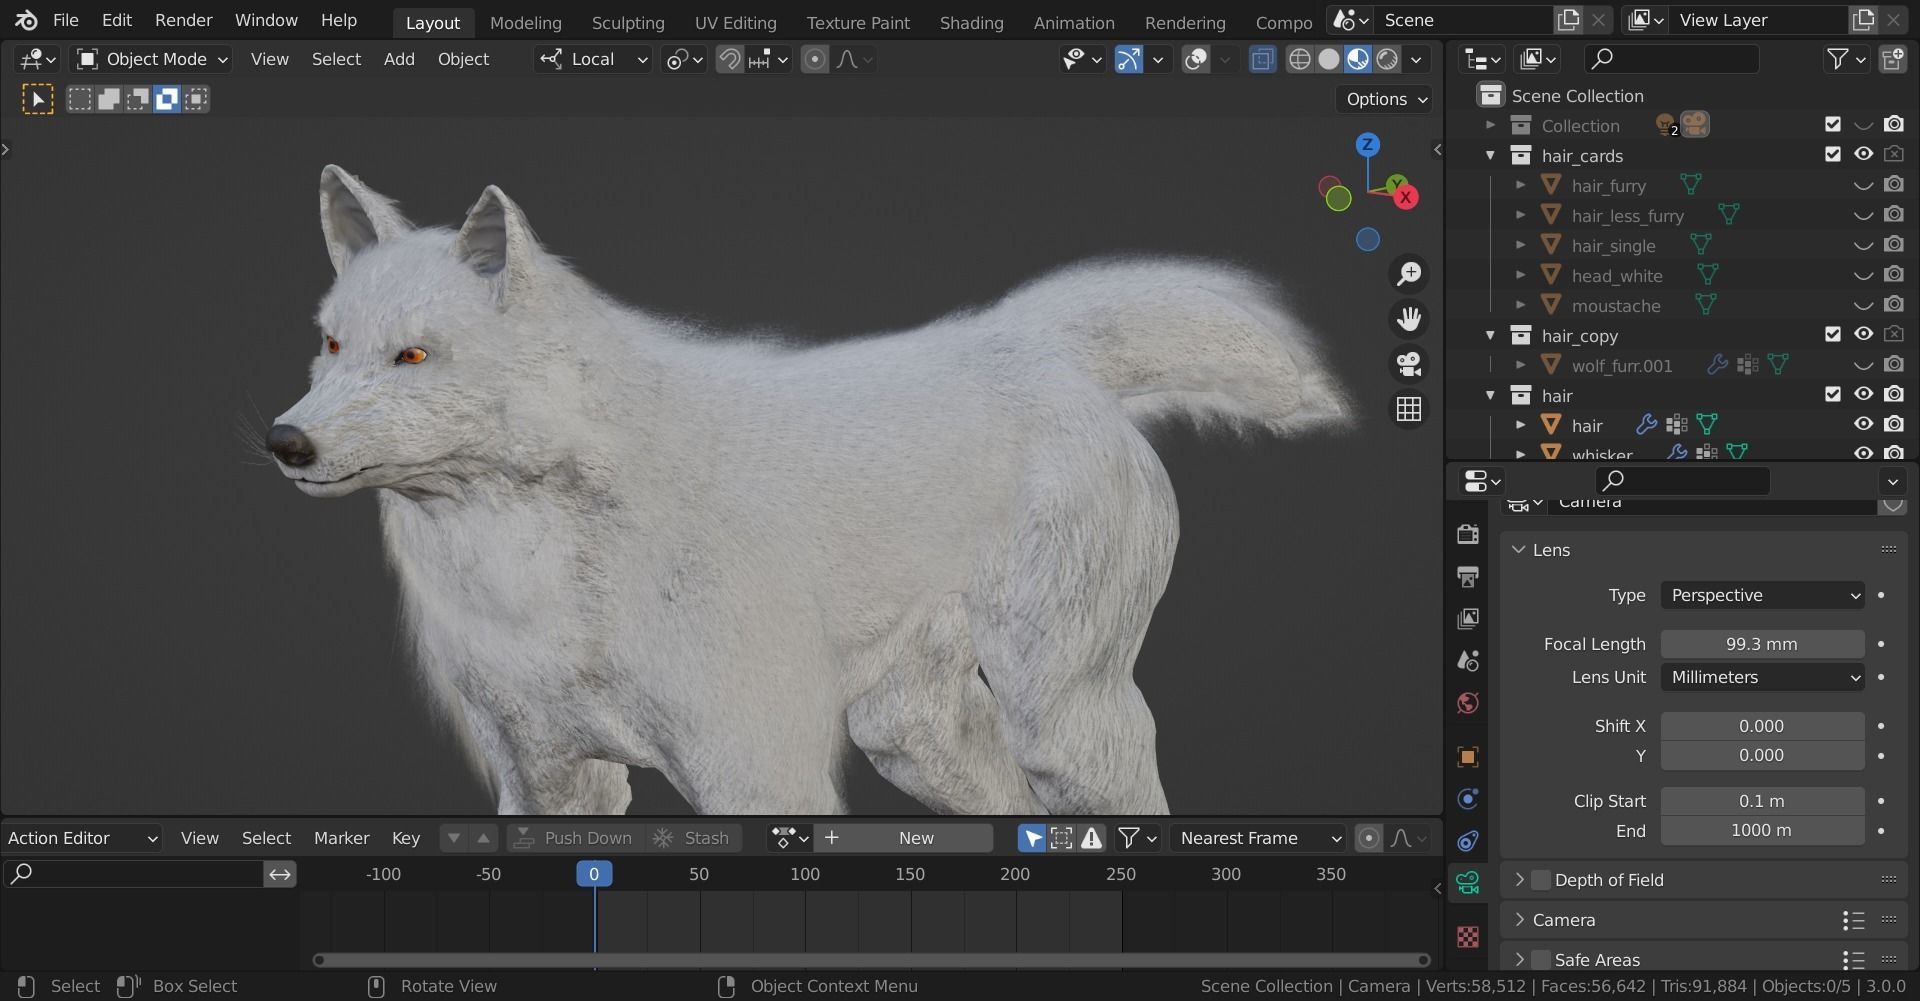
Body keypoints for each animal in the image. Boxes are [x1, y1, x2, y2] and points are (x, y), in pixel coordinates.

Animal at [269, 166, 1350, 816]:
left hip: (1060, 722)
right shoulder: (547, 781)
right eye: (331, 343)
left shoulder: (760, 774)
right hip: (913, 739)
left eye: (413, 355)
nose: (286, 442)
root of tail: (1027, 337)